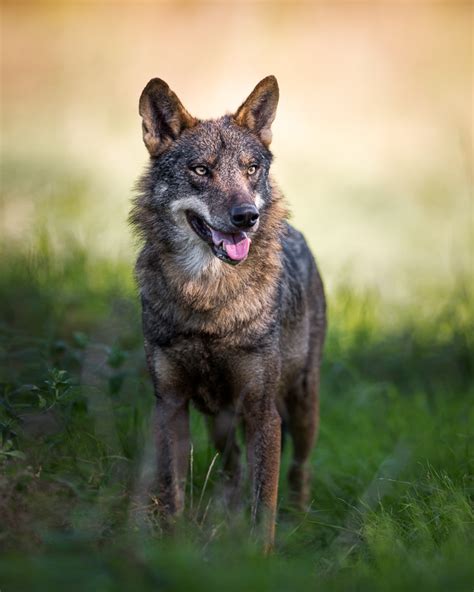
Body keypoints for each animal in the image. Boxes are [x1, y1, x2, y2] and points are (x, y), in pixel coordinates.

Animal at [131, 75, 326, 552]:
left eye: (250, 168)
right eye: (201, 170)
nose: (246, 217)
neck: (208, 300)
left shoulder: (262, 411)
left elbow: (265, 505)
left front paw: (260, 557)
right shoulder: (170, 404)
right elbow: (171, 491)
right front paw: (174, 547)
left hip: (302, 407)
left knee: (299, 470)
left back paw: (301, 520)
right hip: (219, 421)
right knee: (233, 468)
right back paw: (226, 521)